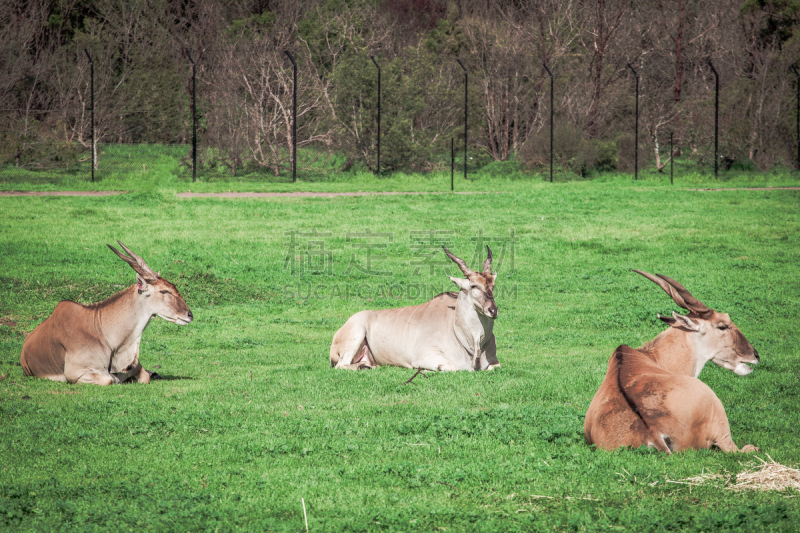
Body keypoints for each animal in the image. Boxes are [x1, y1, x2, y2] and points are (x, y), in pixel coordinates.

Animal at [20, 242, 194, 386]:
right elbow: (108, 380)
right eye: (164, 291)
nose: (189, 315)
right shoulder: (76, 373)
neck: (103, 332)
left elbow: (144, 377)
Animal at [328, 245, 496, 370]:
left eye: (493, 285)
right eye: (474, 286)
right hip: (354, 337)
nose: (493, 310)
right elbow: (451, 367)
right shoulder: (425, 357)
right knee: (341, 365)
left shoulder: (495, 364)